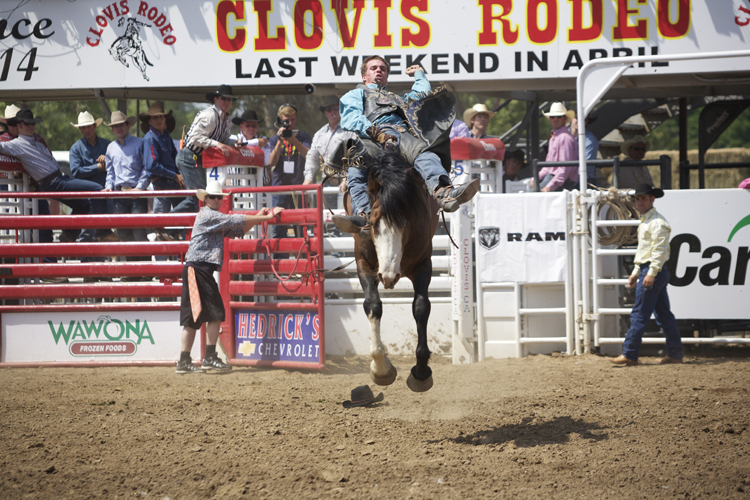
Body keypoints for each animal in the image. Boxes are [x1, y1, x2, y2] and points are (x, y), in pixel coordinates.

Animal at [346, 154, 440, 392]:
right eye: (373, 223)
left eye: (406, 222)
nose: (388, 276)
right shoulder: (364, 263)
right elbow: (373, 305)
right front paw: (381, 369)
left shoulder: (423, 264)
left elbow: (421, 307)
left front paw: (421, 373)